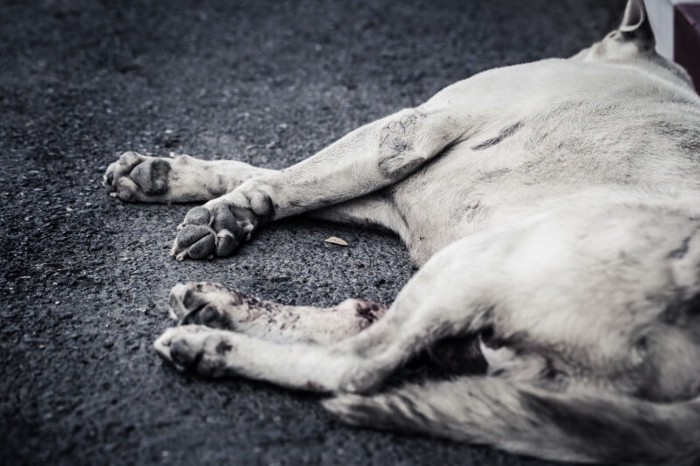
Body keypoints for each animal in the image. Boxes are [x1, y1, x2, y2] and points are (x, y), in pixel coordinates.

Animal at [101, 1, 700, 462]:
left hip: (484, 259)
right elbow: (265, 173)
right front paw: (166, 177)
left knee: (357, 365)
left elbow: (284, 178)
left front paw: (222, 211)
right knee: (368, 324)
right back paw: (218, 308)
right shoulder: (394, 192)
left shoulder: (404, 133)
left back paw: (210, 344)